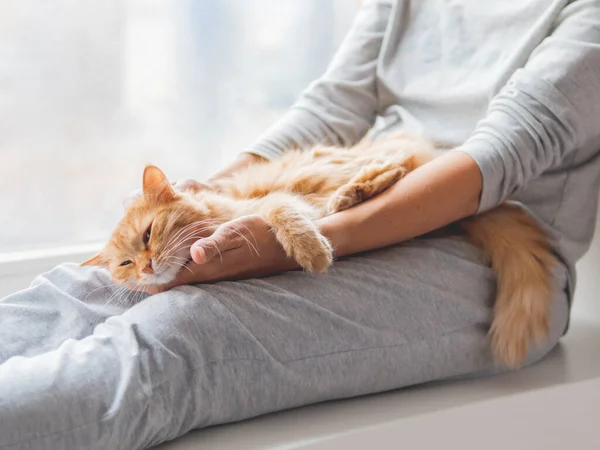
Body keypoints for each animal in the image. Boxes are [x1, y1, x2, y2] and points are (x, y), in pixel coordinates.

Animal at [81, 131, 556, 370]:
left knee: (401, 166)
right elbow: (298, 211)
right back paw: (356, 192)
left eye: (147, 236)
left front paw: (312, 250)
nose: (146, 268)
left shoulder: (266, 205)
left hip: (342, 164)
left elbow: (285, 212)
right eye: (125, 263)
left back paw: (368, 183)